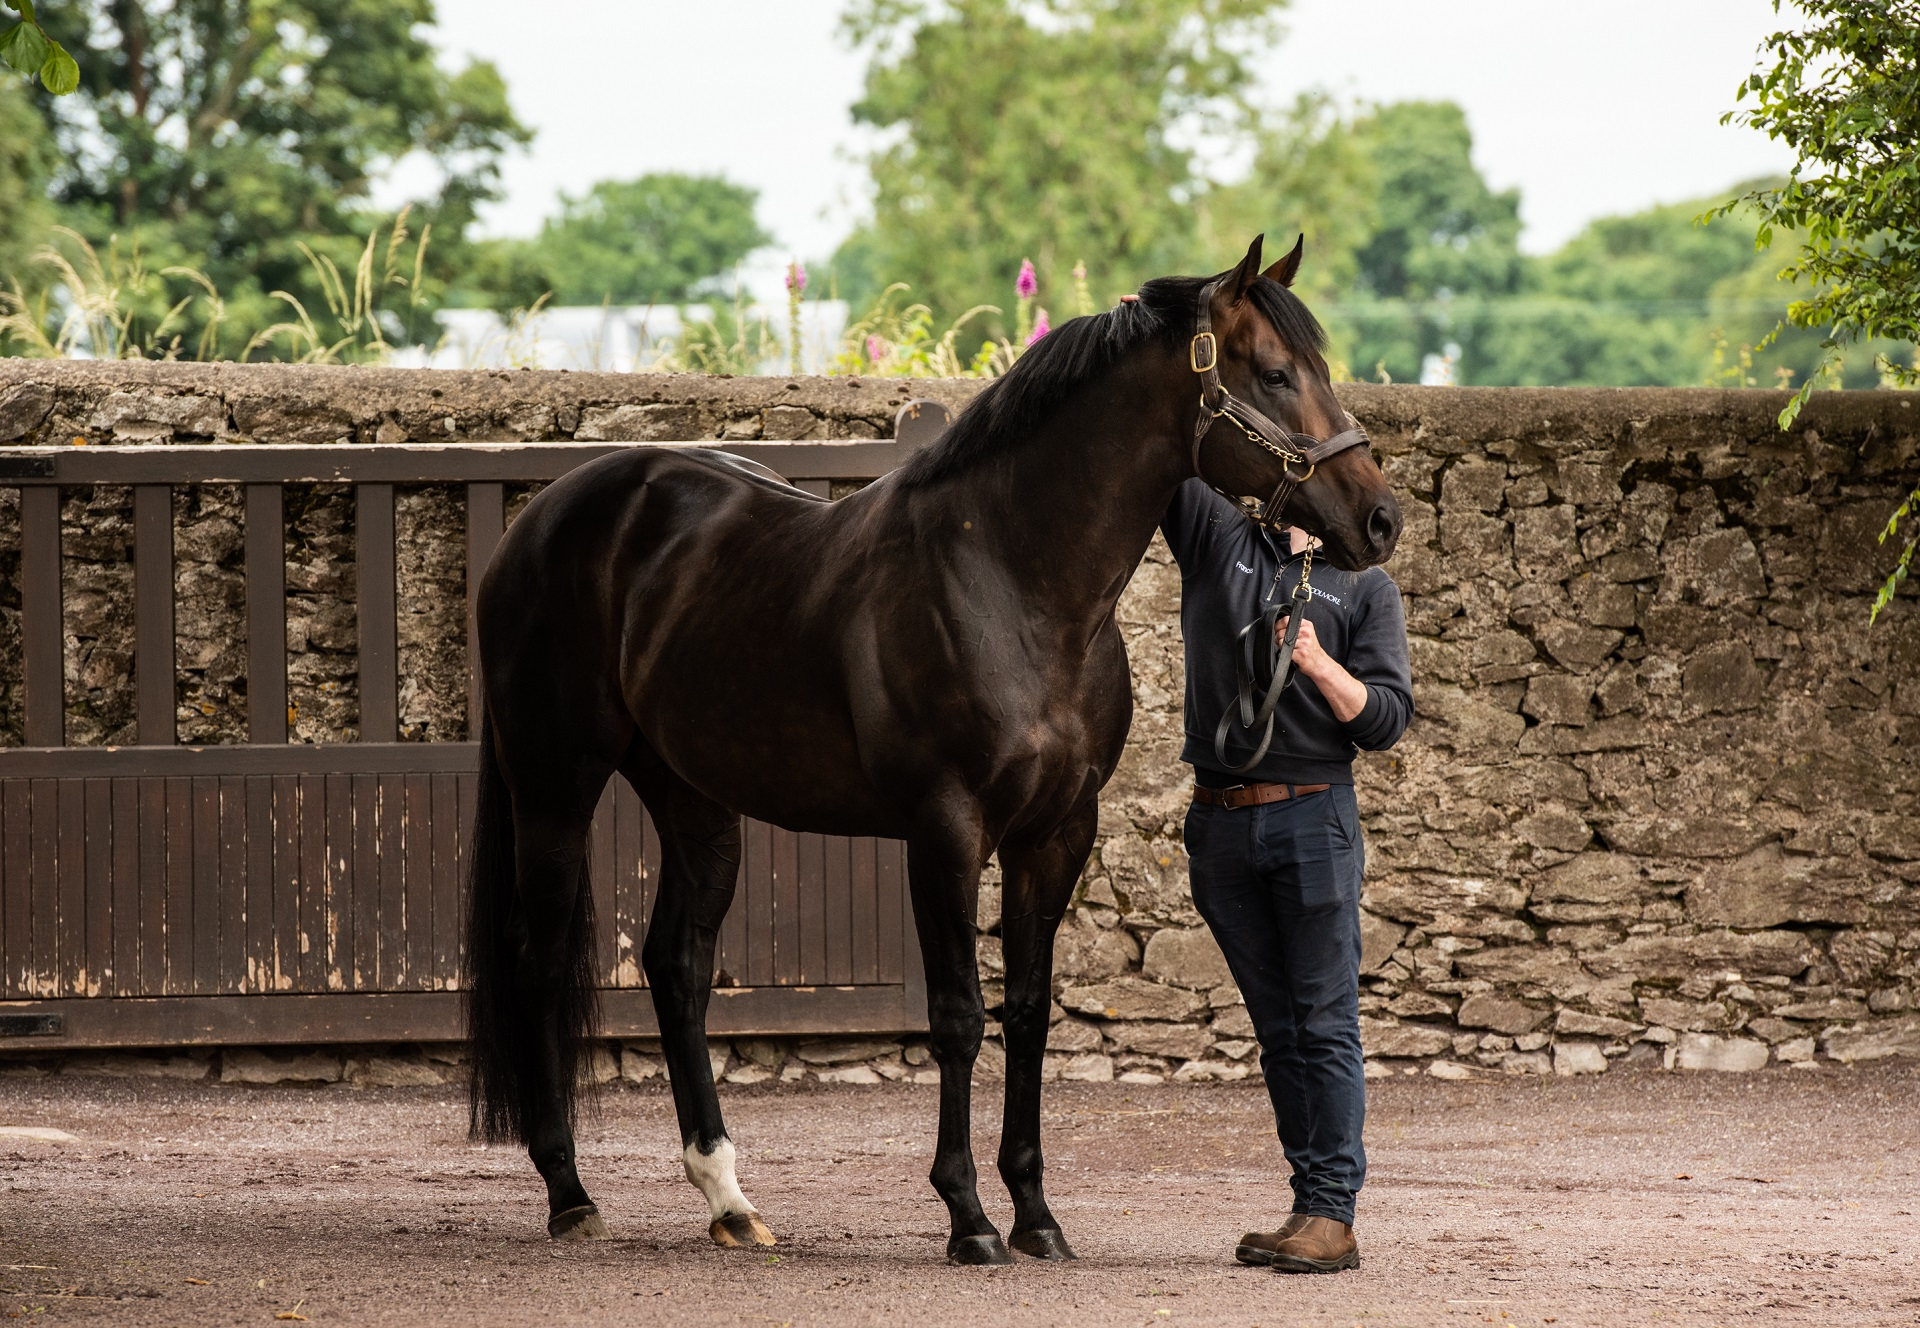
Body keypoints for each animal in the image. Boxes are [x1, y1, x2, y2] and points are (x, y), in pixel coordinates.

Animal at [460, 236, 1397, 1266]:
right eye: (1272, 374)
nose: (1379, 520)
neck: (1013, 578)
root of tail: (542, 518)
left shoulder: (1056, 834)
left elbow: (1027, 1013)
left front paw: (1036, 1215)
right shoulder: (946, 829)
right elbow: (957, 1016)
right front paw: (969, 1217)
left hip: (693, 797)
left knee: (677, 964)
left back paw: (728, 1198)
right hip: (554, 782)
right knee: (540, 958)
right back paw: (568, 1192)